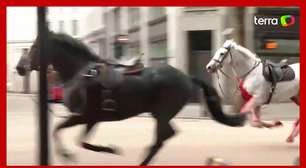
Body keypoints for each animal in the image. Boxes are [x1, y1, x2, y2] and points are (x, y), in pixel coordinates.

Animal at [16, 31, 246, 165]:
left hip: (162, 113)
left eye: (34, 47)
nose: (19, 68)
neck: (82, 73)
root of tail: (187, 77)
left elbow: (70, 137)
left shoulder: (86, 116)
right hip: (160, 113)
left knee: (163, 136)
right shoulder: (91, 118)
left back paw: (143, 160)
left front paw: (97, 150)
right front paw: (96, 150)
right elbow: (72, 137)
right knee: (166, 135)